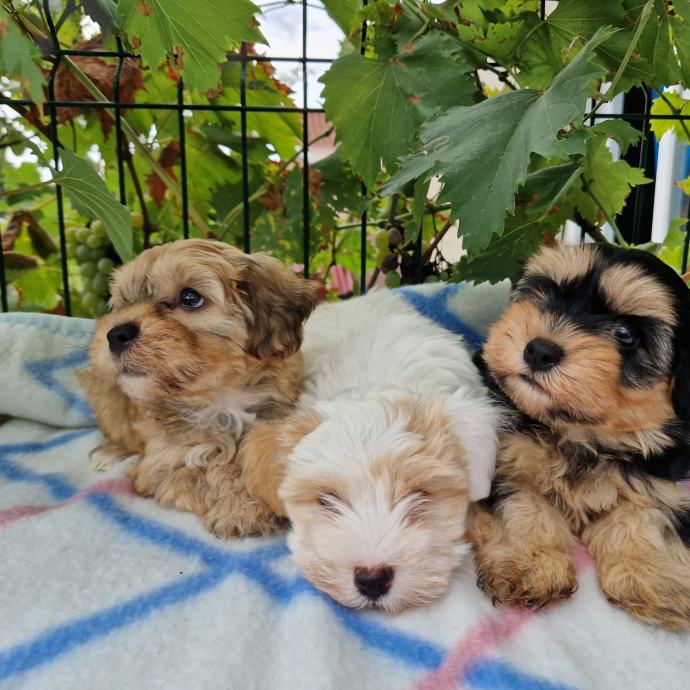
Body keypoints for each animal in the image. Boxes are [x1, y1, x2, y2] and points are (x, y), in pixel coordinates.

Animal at [81, 239, 320, 536]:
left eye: (190, 298)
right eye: (123, 303)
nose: (115, 334)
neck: (220, 399)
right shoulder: (160, 466)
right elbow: (203, 470)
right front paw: (239, 508)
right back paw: (107, 453)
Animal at [470, 242, 688, 628]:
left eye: (626, 335)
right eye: (547, 296)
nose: (539, 349)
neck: (581, 435)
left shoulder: (657, 479)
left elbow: (650, 516)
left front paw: (654, 577)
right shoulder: (506, 458)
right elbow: (522, 503)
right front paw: (533, 563)